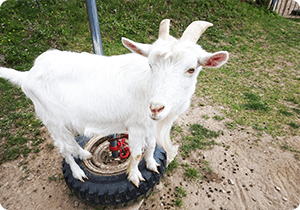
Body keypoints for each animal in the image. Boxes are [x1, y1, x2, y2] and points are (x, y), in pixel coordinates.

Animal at [0, 19, 229, 187]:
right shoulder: (135, 125)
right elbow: (136, 153)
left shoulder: (149, 123)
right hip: (51, 120)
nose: (156, 108)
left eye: (191, 69)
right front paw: (135, 177)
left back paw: (84, 153)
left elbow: (151, 145)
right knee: (63, 148)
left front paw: (152, 164)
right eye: (150, 64)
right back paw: (78, 173)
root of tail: (28, 75)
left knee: (71, 142)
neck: (147, 86)